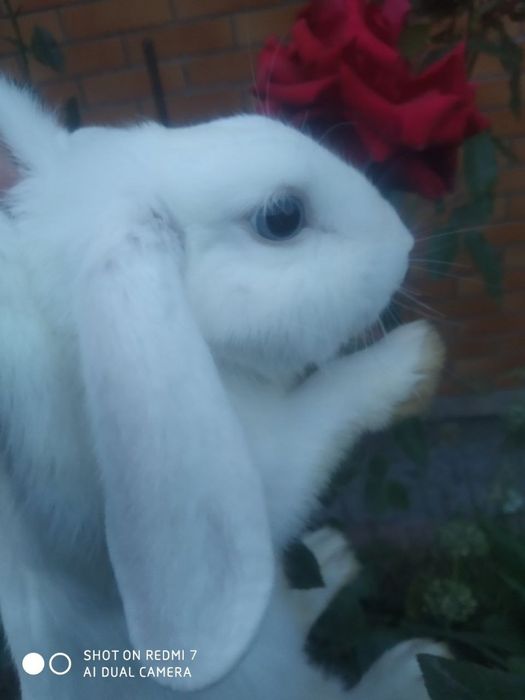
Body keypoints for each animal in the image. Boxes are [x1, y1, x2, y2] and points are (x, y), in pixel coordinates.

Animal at [0, 77, 446, 700]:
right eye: (282, 217)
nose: (404, 243)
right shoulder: (269, 474)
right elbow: (324, 415)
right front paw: (415, 357)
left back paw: (332, 559)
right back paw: (409, 663)